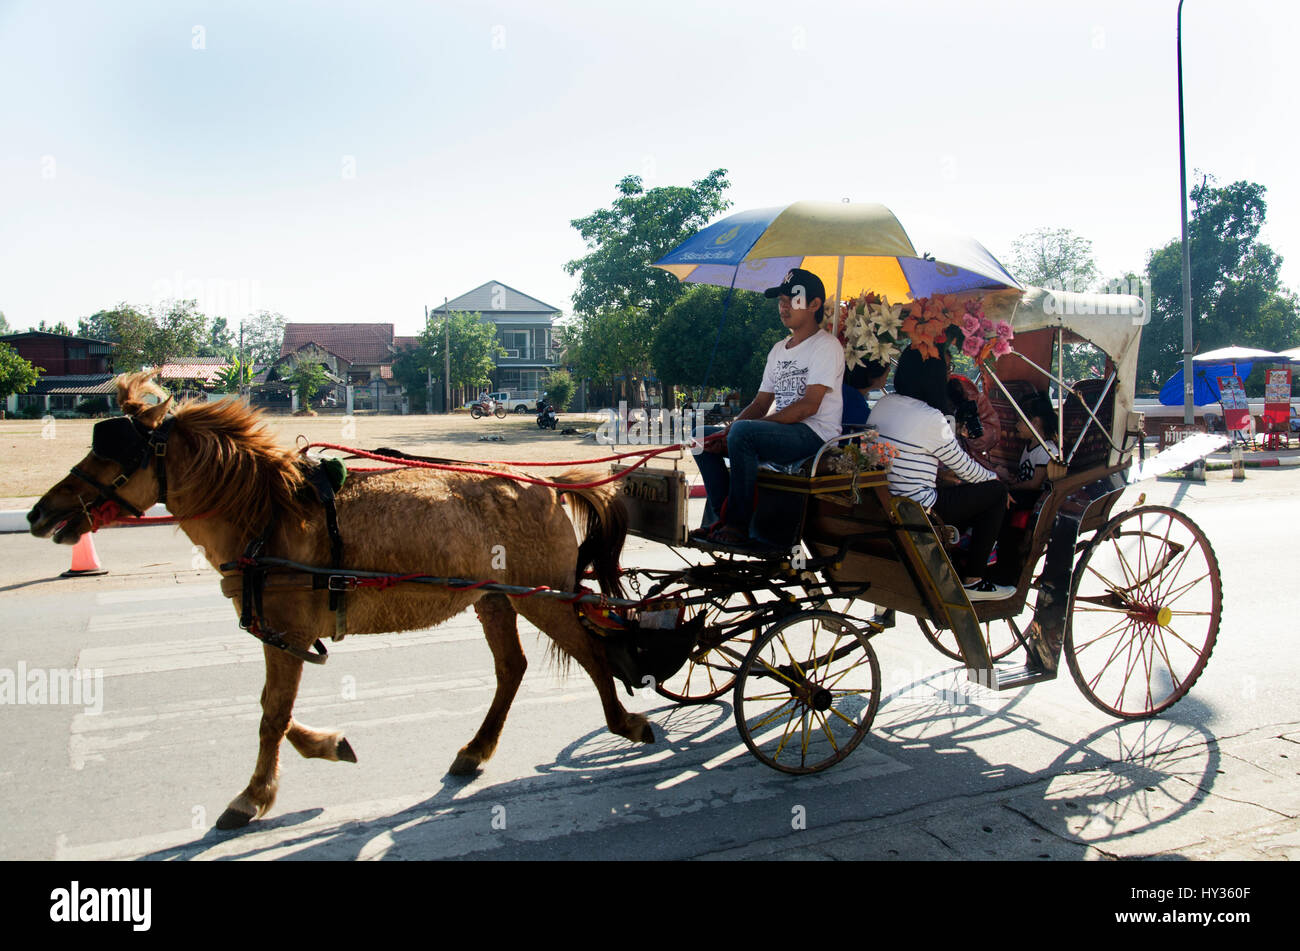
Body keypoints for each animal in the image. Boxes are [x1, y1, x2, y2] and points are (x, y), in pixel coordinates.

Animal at [26, 374, 644, 826]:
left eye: (114, 452)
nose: (39, 513)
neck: (266, 511)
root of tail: (548, 484)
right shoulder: (286, 636)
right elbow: (275, 711)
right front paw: (328, 744)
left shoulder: (288, 633)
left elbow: (272, 714)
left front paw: (253, 795)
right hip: (494, 598)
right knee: (512, 668)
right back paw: (475, 750)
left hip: (544, 597)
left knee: (592, 653)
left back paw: (626, 723)